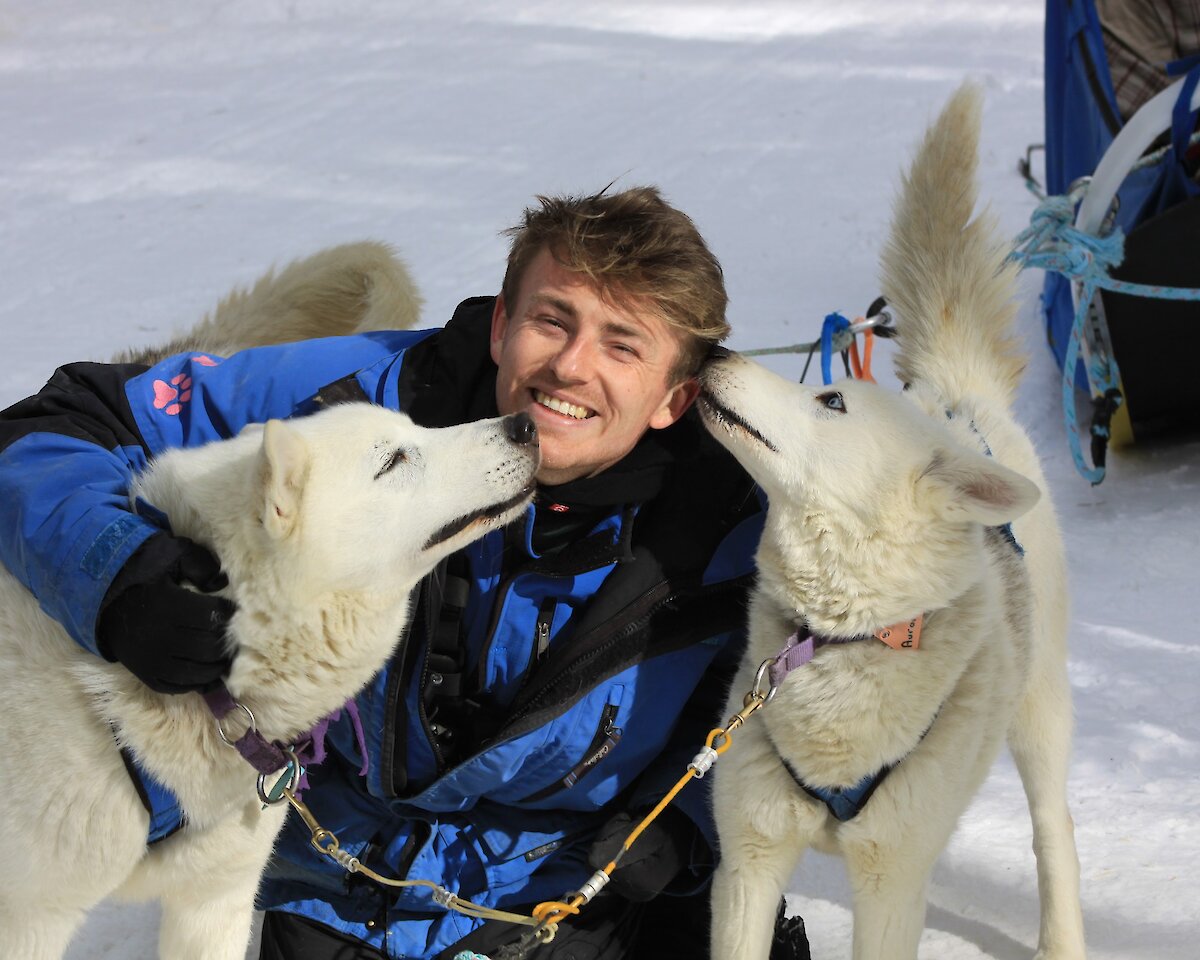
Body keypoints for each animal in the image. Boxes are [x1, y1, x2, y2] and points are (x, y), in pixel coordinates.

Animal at [700, 84, 1089, 960]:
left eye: (830, 400)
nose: (709, 353)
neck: (840, 638)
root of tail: (952, 396)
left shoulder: (892, 881)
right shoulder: (748, 861)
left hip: (1039, 713)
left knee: (1055, 832)